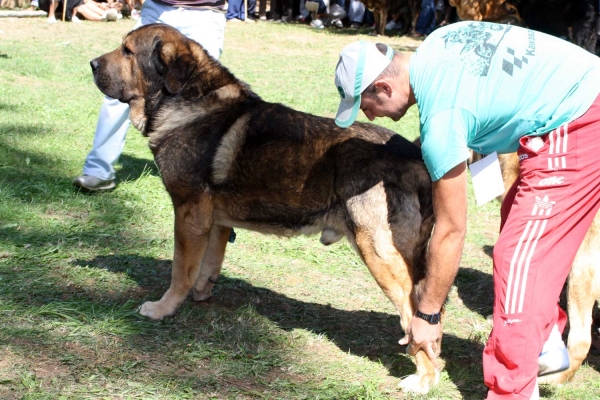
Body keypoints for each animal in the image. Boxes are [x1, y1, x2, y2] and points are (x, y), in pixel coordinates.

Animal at [91, 24, 442, 394]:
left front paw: (163, 308)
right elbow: (208, 265)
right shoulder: (215, 222)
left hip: (379, 254)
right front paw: (201, 293)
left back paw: (423, 378)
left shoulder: (188, 214)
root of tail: (416, 159)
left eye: (128, 51)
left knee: (415, 320)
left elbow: (180, 272)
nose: (92, 64)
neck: (187, 99)